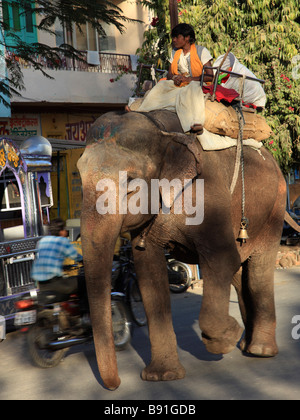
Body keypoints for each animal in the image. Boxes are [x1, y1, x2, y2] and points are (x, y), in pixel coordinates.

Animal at [77, 109, 286, 390]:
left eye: (130, 183)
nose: (115, 384)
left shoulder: (209, 195)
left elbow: (222, 258)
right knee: (239, 272)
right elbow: (148, 272)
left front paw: (227, 337)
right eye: (79, 177)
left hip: (275, 207)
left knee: (257, 271)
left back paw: (259, 350)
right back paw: (246, 344)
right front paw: (161, 376)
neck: (159, 130)